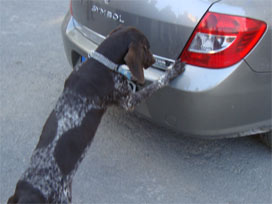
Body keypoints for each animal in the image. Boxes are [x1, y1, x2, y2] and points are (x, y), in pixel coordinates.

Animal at [7, 26, 185, 203]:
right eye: (146, 48)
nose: (154, 60)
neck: (101, 62)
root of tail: (24, 192)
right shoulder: (128, 101)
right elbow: (156, 85)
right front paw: (172, 71)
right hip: (63, 197)